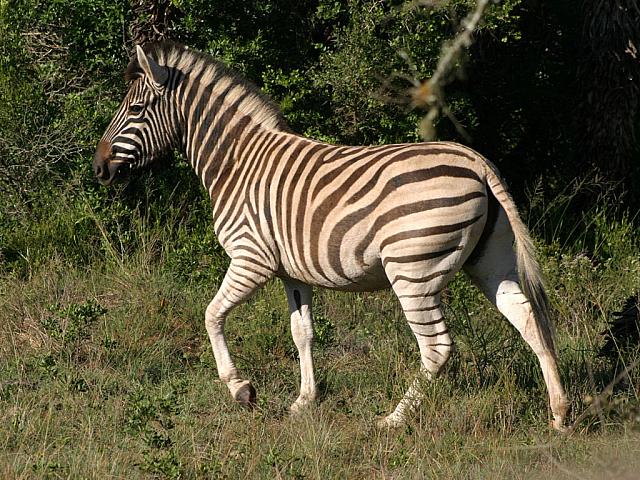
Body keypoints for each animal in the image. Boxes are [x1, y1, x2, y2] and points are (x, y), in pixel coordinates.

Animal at [94, 42, 569, 431]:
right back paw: (559, 413)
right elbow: (301, 332)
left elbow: (212, 315)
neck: (236, 162)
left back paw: (393, 420)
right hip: (489, 260)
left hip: (412, 269)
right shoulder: (292, 272)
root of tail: (475, 161)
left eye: (134, 110)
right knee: (528, 319)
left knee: (437, 347)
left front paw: (240, 388)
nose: (98, 168)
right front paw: (304, 401)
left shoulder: (251, 258)